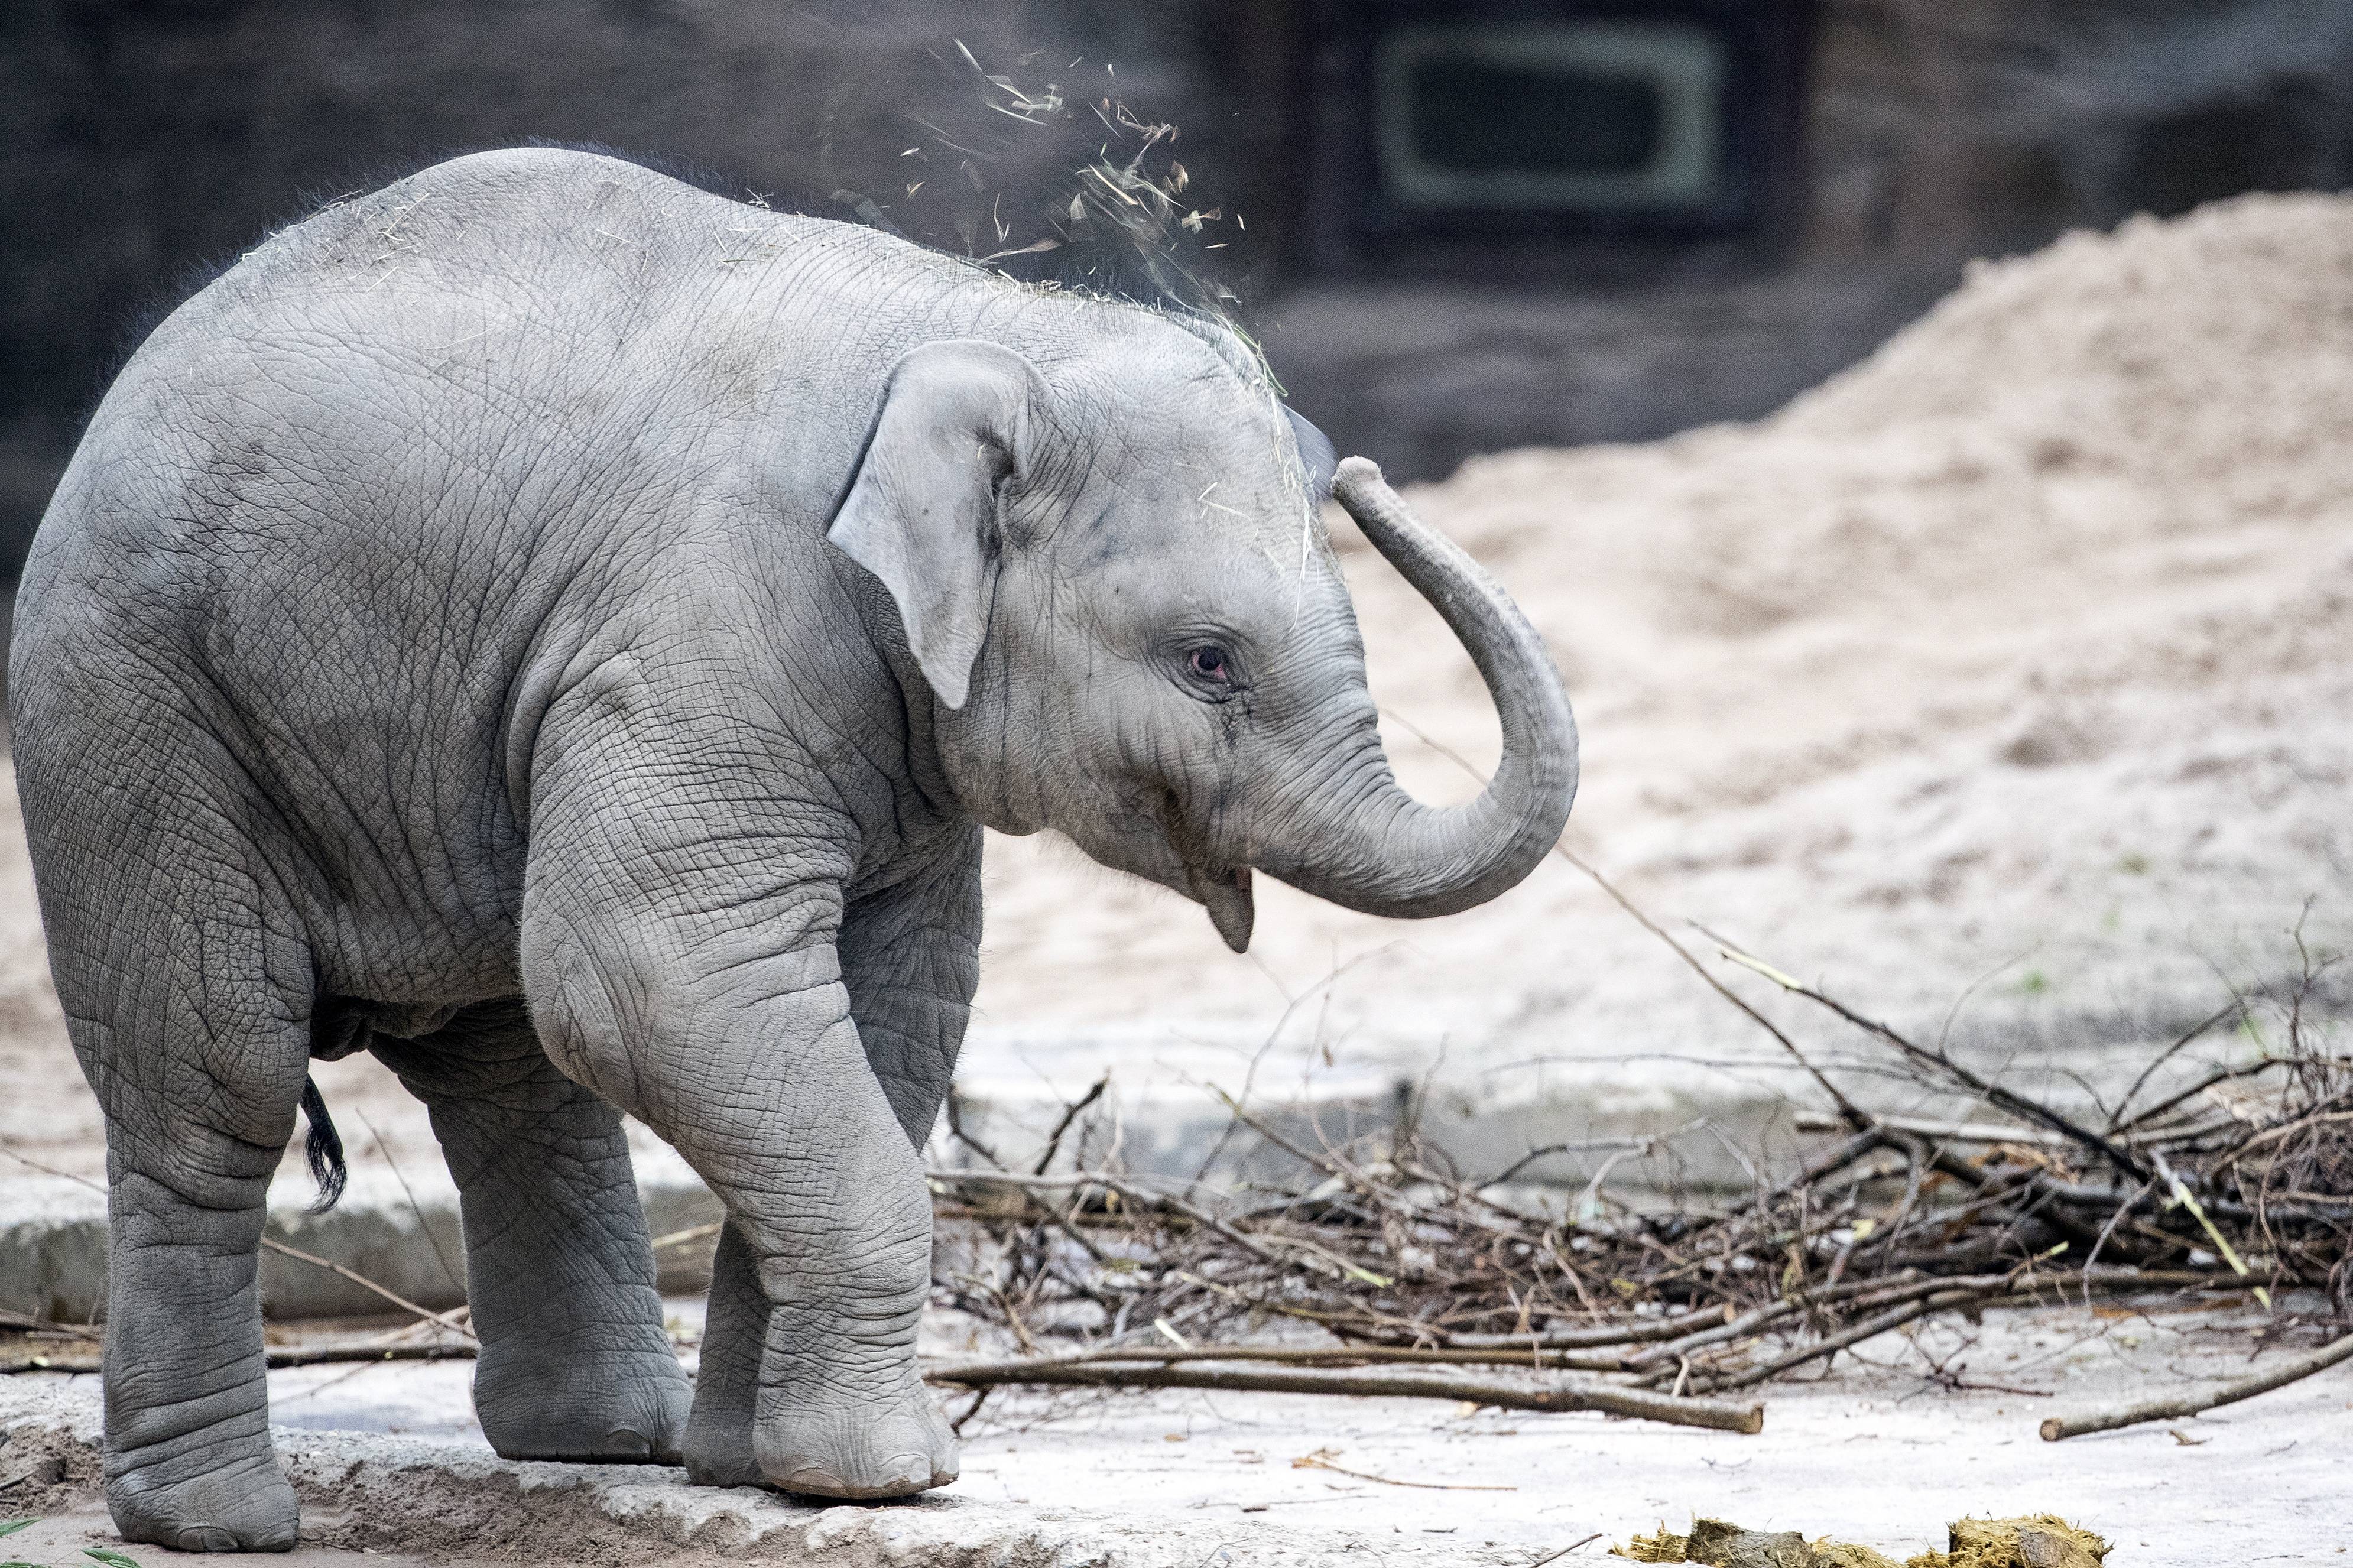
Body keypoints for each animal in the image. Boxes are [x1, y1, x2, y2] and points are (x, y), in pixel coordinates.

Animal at [14, 146, 1581, 1535]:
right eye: (1208, 663)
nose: (1366, 472)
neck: (981, 329)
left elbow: (891, 1009)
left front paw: (769, 1472)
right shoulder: (703, 626)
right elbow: (651, 975)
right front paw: (893, 1478)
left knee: (511, 1075)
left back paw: (607, 1445)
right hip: (135, 716)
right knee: (217, 1085)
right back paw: (218, 1520)